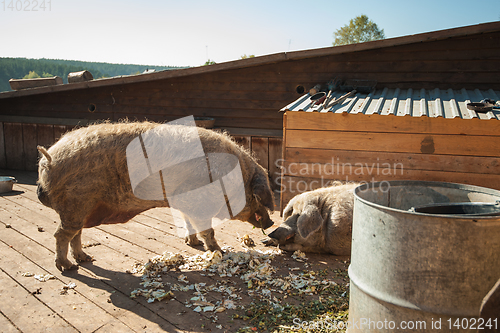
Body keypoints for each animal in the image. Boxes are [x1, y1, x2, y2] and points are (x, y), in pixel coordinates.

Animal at [37, 120, 276, 272]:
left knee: (74, 235)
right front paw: (219, 251)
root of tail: (48, 160)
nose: (271, 222)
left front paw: (193, 243)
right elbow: (207, 230)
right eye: (256, 197)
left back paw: (85, 258)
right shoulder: (198, 203)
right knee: (60, 235)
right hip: (75, 204)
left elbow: (189, 223)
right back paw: (68, 267)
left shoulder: (186, 203)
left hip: (81, 209)